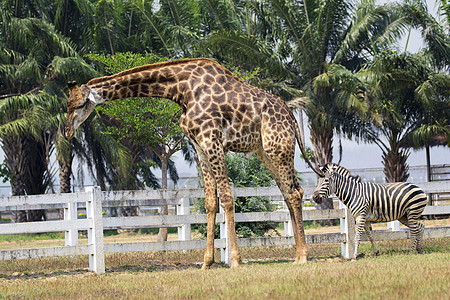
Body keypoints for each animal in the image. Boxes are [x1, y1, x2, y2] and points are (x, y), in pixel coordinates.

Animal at [66, 57, 324, 268]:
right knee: (291, 192)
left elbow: (227, 198)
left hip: (276, 146)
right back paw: (297, 254)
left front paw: (235, 260)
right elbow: (210, 202)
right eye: (66, 105)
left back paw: (303, 256)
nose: (68, 132)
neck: (181, 89)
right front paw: (207, 262)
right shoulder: (199, 145)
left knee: (293, 193)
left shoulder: (212, 139)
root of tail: (291, 115)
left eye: (80, 104)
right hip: (264, 151)